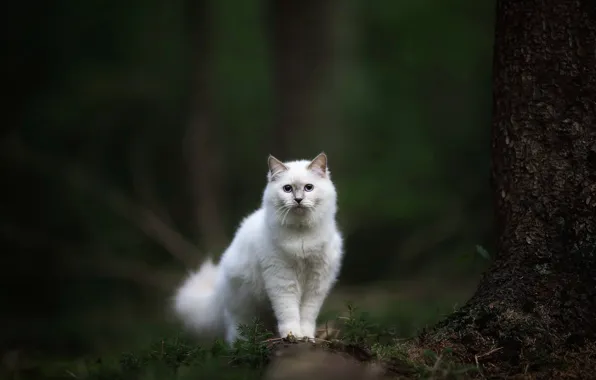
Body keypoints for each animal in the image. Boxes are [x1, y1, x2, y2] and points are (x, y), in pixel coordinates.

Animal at [171, 153, 344, 342]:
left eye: (309, 187)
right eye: (287, 189)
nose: (298, 200)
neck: (301, 235)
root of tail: (219, 290)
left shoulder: (316, 283)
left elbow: (307, 315)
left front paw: (306, 336)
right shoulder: (281, 279)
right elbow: (289, 311)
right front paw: (292, 334)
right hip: (243, 312)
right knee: (236, 335)